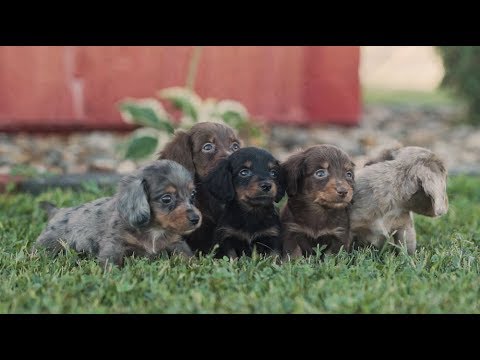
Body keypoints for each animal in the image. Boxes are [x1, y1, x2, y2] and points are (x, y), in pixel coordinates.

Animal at [34, 159, 202, 266]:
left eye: (193, 194)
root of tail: (57, 211)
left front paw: (195, 266)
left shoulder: (176, 243)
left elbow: (186, 256)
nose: (196, 219)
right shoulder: (115, 244)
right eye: (166, 198)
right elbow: (111, 263)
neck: (154, 229)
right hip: (49, 244)